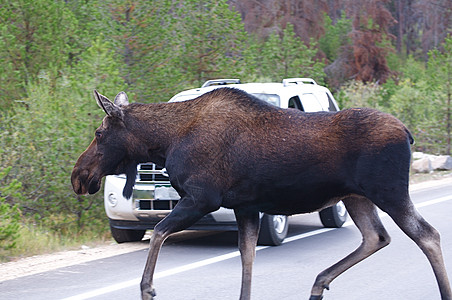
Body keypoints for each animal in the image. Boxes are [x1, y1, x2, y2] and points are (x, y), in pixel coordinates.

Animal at [71, 88, 452, 298]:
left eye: (99, 133)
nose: (79, 176)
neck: (164, 143)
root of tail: (407, 133)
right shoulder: (245, 207)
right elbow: (248, 257)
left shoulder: (202, 198)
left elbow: (160, 232)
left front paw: (147, 289)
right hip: (356, 197)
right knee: (377, 236)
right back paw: (319, 283)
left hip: (388, 192)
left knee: (427, 235)